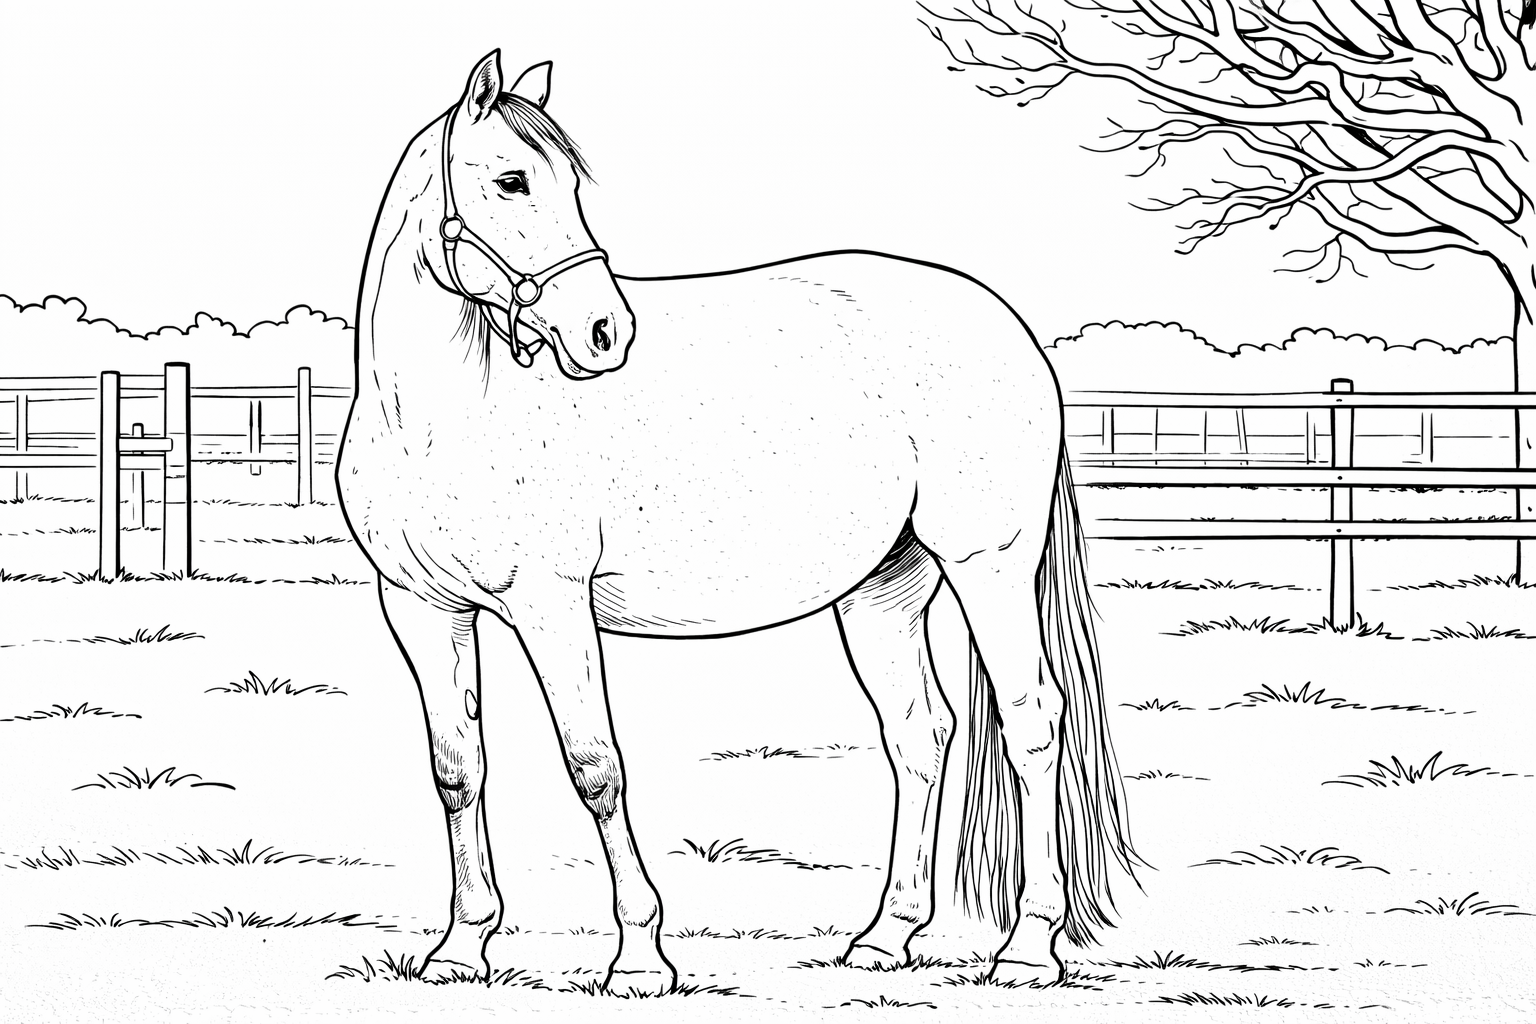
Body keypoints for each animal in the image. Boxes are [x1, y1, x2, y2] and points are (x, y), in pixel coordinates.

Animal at [336, 50, 1138, 995]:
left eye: (567, 182)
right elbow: (459, 771)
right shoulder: (423, 609)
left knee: (1031, 722)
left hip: (990, 566)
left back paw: (1028, 947)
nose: (604, 332)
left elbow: (595, 768)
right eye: (512, 180)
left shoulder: (552, 606)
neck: (444, 412)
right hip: (885, 588)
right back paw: (884, 937)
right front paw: (461, 948)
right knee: (920, 734)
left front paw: (639, 959)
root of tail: (1011, 328)